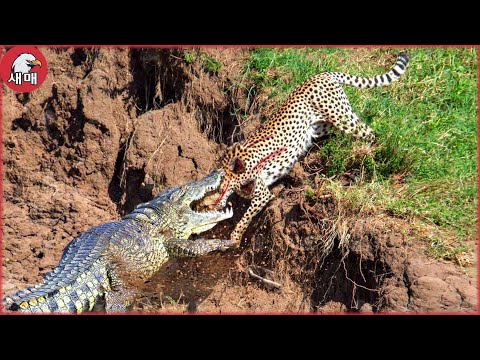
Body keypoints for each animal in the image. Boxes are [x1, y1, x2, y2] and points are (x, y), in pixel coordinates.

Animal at [200, 52, 408, 246]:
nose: (202, 213)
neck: (228, 177)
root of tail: (320, 74)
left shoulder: (262, 194)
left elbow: (245, 217)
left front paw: (234, 238)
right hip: (322, 125)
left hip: (341, 116)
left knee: (369, 132)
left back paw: (365, 154)